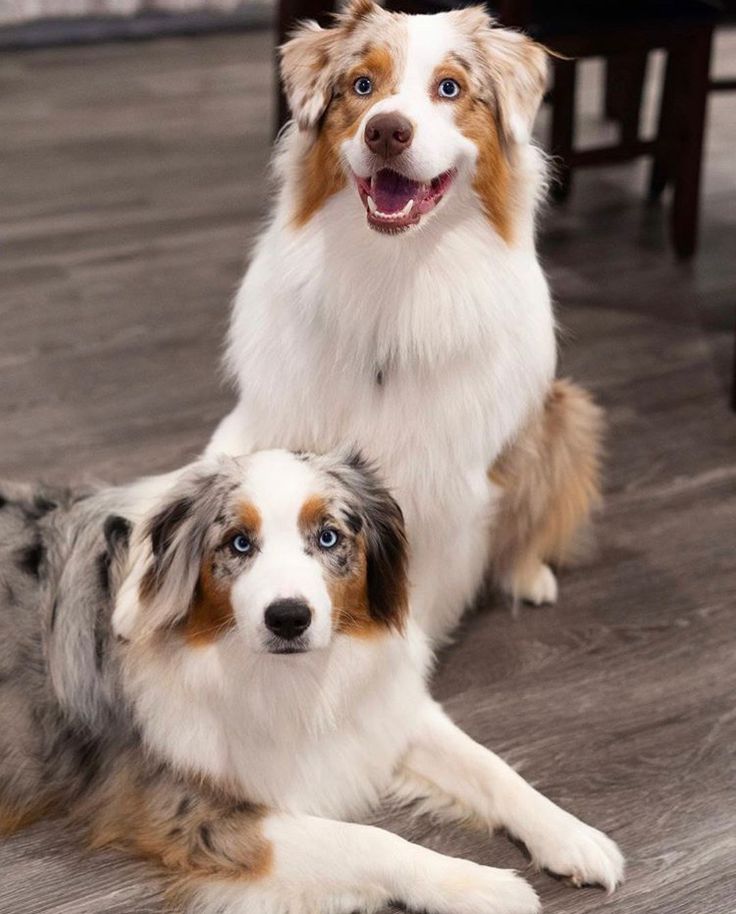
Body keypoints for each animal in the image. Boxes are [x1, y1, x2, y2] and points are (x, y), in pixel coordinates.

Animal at [0, 450, 620, 912]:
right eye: (239, 543)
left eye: (327, 537)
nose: (288, 618)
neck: (287, 676)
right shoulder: (188, 809)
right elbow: (369, 840)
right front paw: (484, 885)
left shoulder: (382, 709)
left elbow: (491, 768)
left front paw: (574, 836)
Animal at [207, 0, 604, 640]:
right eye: (362, 86)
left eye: (450, 88)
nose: (386, 130)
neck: (393, 278)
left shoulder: (450, 483)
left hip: (562, 415)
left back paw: (529, 576)